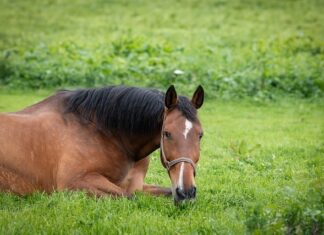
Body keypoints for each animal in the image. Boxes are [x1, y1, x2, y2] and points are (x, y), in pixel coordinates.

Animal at [0, 85, 202, 203]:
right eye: (167, 133)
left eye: (200, 135)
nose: (186, 192)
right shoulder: (75, 182)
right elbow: (130, 198)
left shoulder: (137, 185)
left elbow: (162, 191)